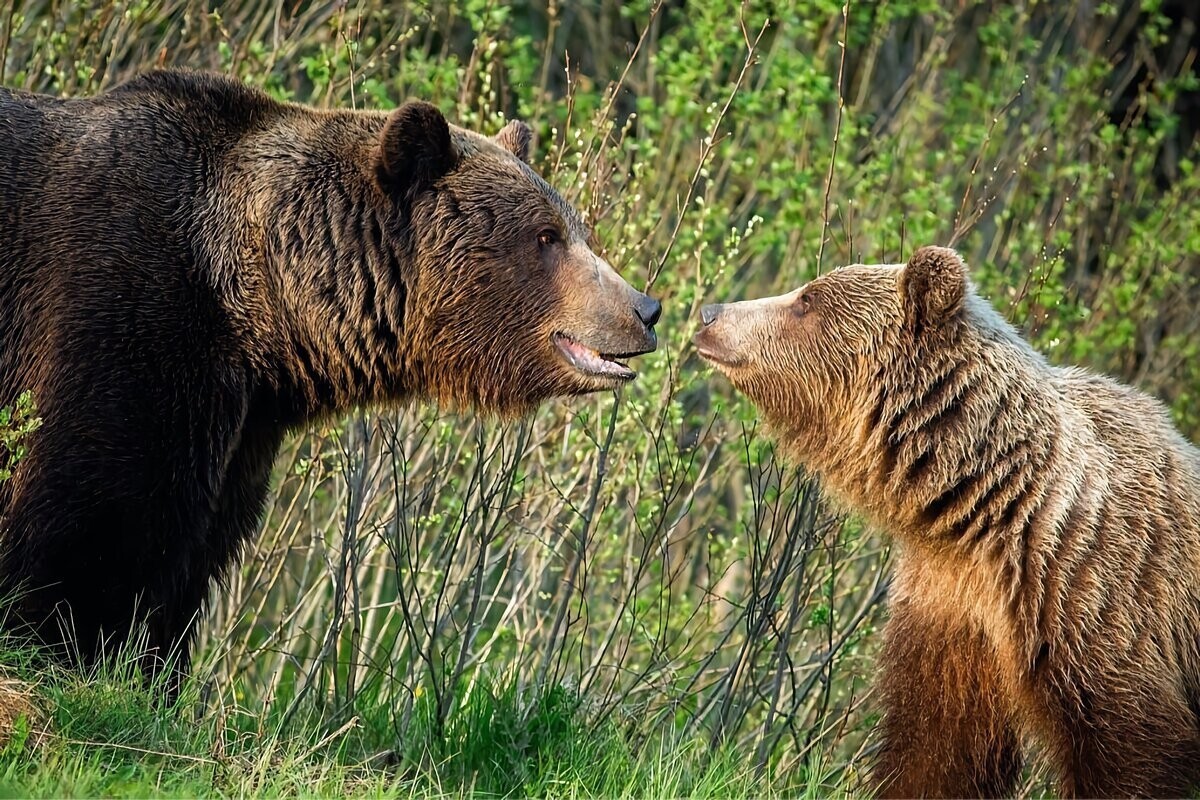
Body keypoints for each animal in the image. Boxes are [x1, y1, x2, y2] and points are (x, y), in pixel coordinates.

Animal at [0, 67, 662, 681]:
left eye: (575, 227)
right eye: (546, 236)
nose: (644, 309)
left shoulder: (241, 424)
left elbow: (189, 559)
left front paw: (154, 674)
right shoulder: (123, 318)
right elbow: (89, 529)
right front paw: (69, 658)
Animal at [696, 247, 1200, 796]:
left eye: (806, 300)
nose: (710, 314)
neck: (989, 506)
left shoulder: (1099, 601)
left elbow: (1129, 752)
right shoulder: (950, 607)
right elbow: (936, 749)